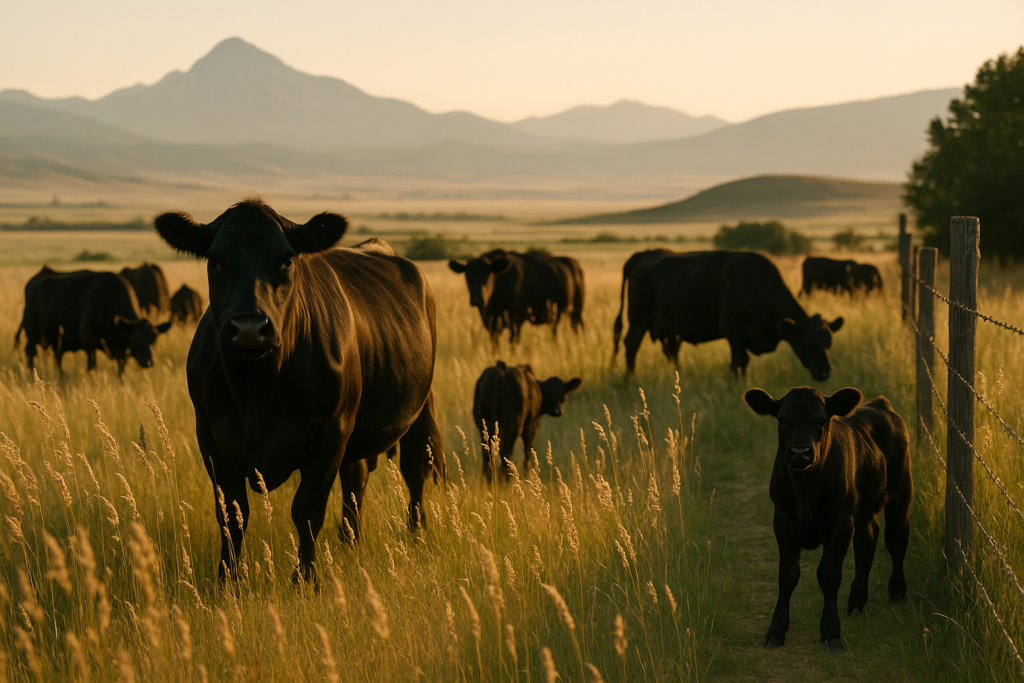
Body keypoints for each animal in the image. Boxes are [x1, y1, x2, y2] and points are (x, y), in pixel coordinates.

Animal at [16, 266, 172, 376]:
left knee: (56, 358)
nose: (148, 362)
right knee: (30, 352)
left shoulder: (121, 349)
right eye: (136, 339)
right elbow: (92, 367)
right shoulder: (89, 343)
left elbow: (121, 369)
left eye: (154, 339)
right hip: (32, 335)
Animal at [153, 198, 444, 582]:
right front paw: (228, 580)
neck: (256, 395)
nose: (249, 328)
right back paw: (351, 541)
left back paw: (416, 531)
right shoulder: (210, 434)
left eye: (286, 259)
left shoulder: (331, 432)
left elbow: (307, 510)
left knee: (414, 469)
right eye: (215, 260)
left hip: (419, 409)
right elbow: (231, 513)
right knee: (356, 479)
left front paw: (305, 580)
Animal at [448, 250, 584, 344]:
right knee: (555, 330)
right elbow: (494, 343)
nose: (477, 300)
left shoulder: (516, 319)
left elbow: (513, 341)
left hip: (576, 310)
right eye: (467, 276)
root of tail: (575, 264)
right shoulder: (491, 325)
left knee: (575, 327)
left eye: (489, 275)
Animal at [612, 250, 843, 380]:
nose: (826, 372)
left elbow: (743, 364)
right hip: (638, 320)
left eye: (829, 343)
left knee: (670, 351)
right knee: (631, 345)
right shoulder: (734, 333)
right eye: (807, 343)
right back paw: (630, 379)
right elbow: (738, 362)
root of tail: (644, 255)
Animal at [743, 386, 911, 653]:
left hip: (901, 490)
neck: (806, 489)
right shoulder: (782, 521)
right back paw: (856, 601)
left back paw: (897, 592)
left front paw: (831, 632)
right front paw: (776, 631)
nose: (800, 453)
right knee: (868, 539)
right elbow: (787, 575)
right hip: (863, 509)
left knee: (896, 539)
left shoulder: (841, 524)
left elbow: (829, 575)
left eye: (821, 421)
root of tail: (879, 404)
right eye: (782, 420)